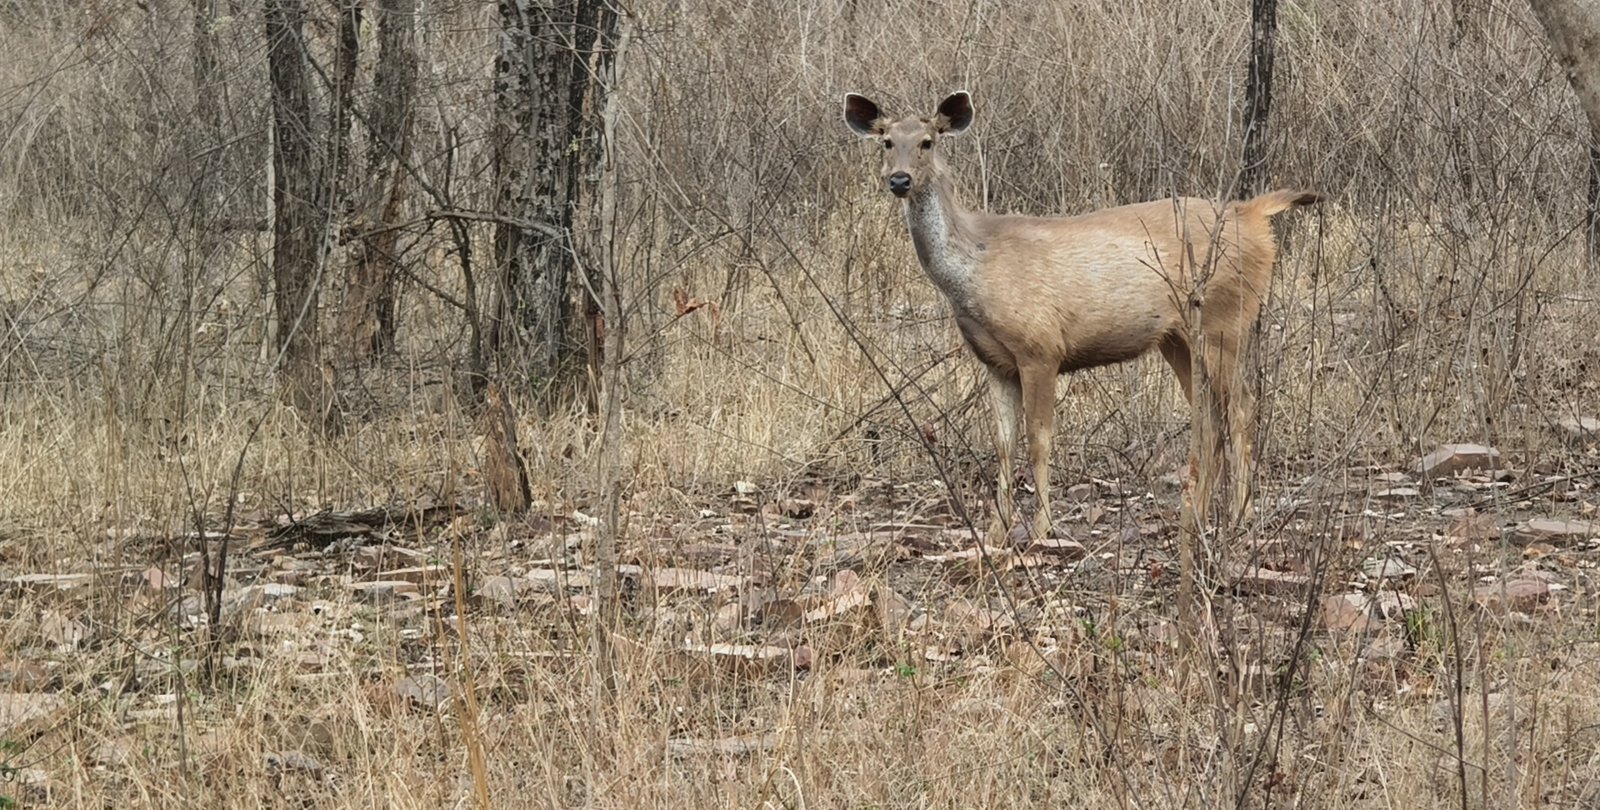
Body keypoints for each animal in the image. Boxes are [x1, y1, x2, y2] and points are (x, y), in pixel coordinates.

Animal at [842, 90, 1320, 544]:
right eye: (886, 141)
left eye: (928, 141)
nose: (899, 179)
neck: (975, 270)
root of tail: (1251, 213)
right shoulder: (995, 362)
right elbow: (1002, 444)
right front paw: (997, 531)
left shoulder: (1040, 348)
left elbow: (1038, 438)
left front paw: (1042, 528)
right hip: (1179, 337)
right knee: (1208, 416)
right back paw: (1201, 513)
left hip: (1225, 319)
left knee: (1241, 406)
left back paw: (1241, 516)